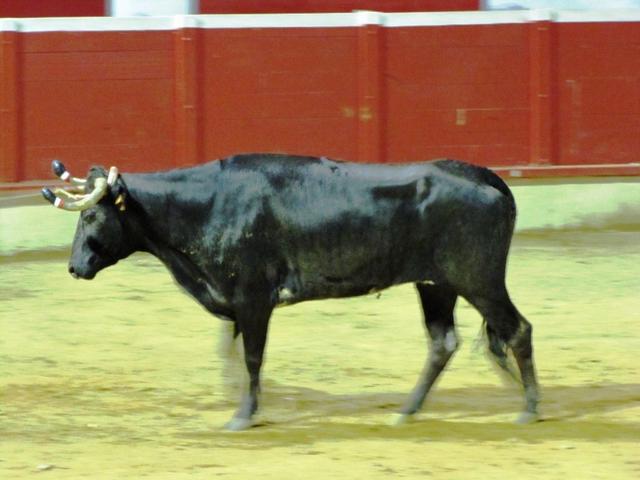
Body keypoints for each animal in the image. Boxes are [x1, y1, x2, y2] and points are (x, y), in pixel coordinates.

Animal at [42, 154, 539, 430]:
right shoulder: (237, 301)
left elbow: (251, 356)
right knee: (443, 341)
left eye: (90, 216)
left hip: (479, 279)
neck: (206, 205)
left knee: (517, 329)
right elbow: (231, 352)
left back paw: (529, 408)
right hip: (436, 285)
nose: (73, 266)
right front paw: (243, 401)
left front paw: (243, 415)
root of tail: (487, 178)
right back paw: (406, 411)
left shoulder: (253, 299)